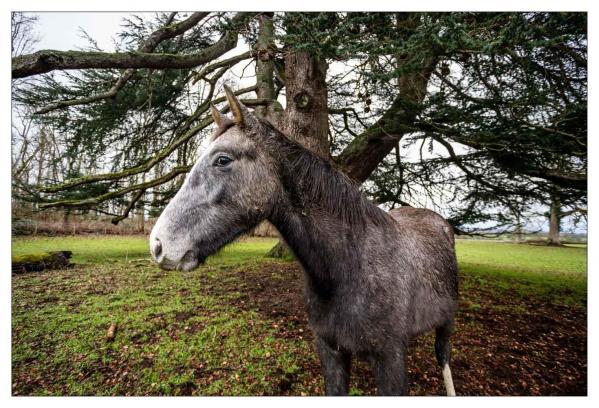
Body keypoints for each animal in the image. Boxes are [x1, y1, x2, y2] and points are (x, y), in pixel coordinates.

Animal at [150, 86, 460, 396]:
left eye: (222, 160)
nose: (158, 244)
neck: (351, 266)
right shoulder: (331, 351)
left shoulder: (389, 359)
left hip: (446, 324)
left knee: (443, 358)